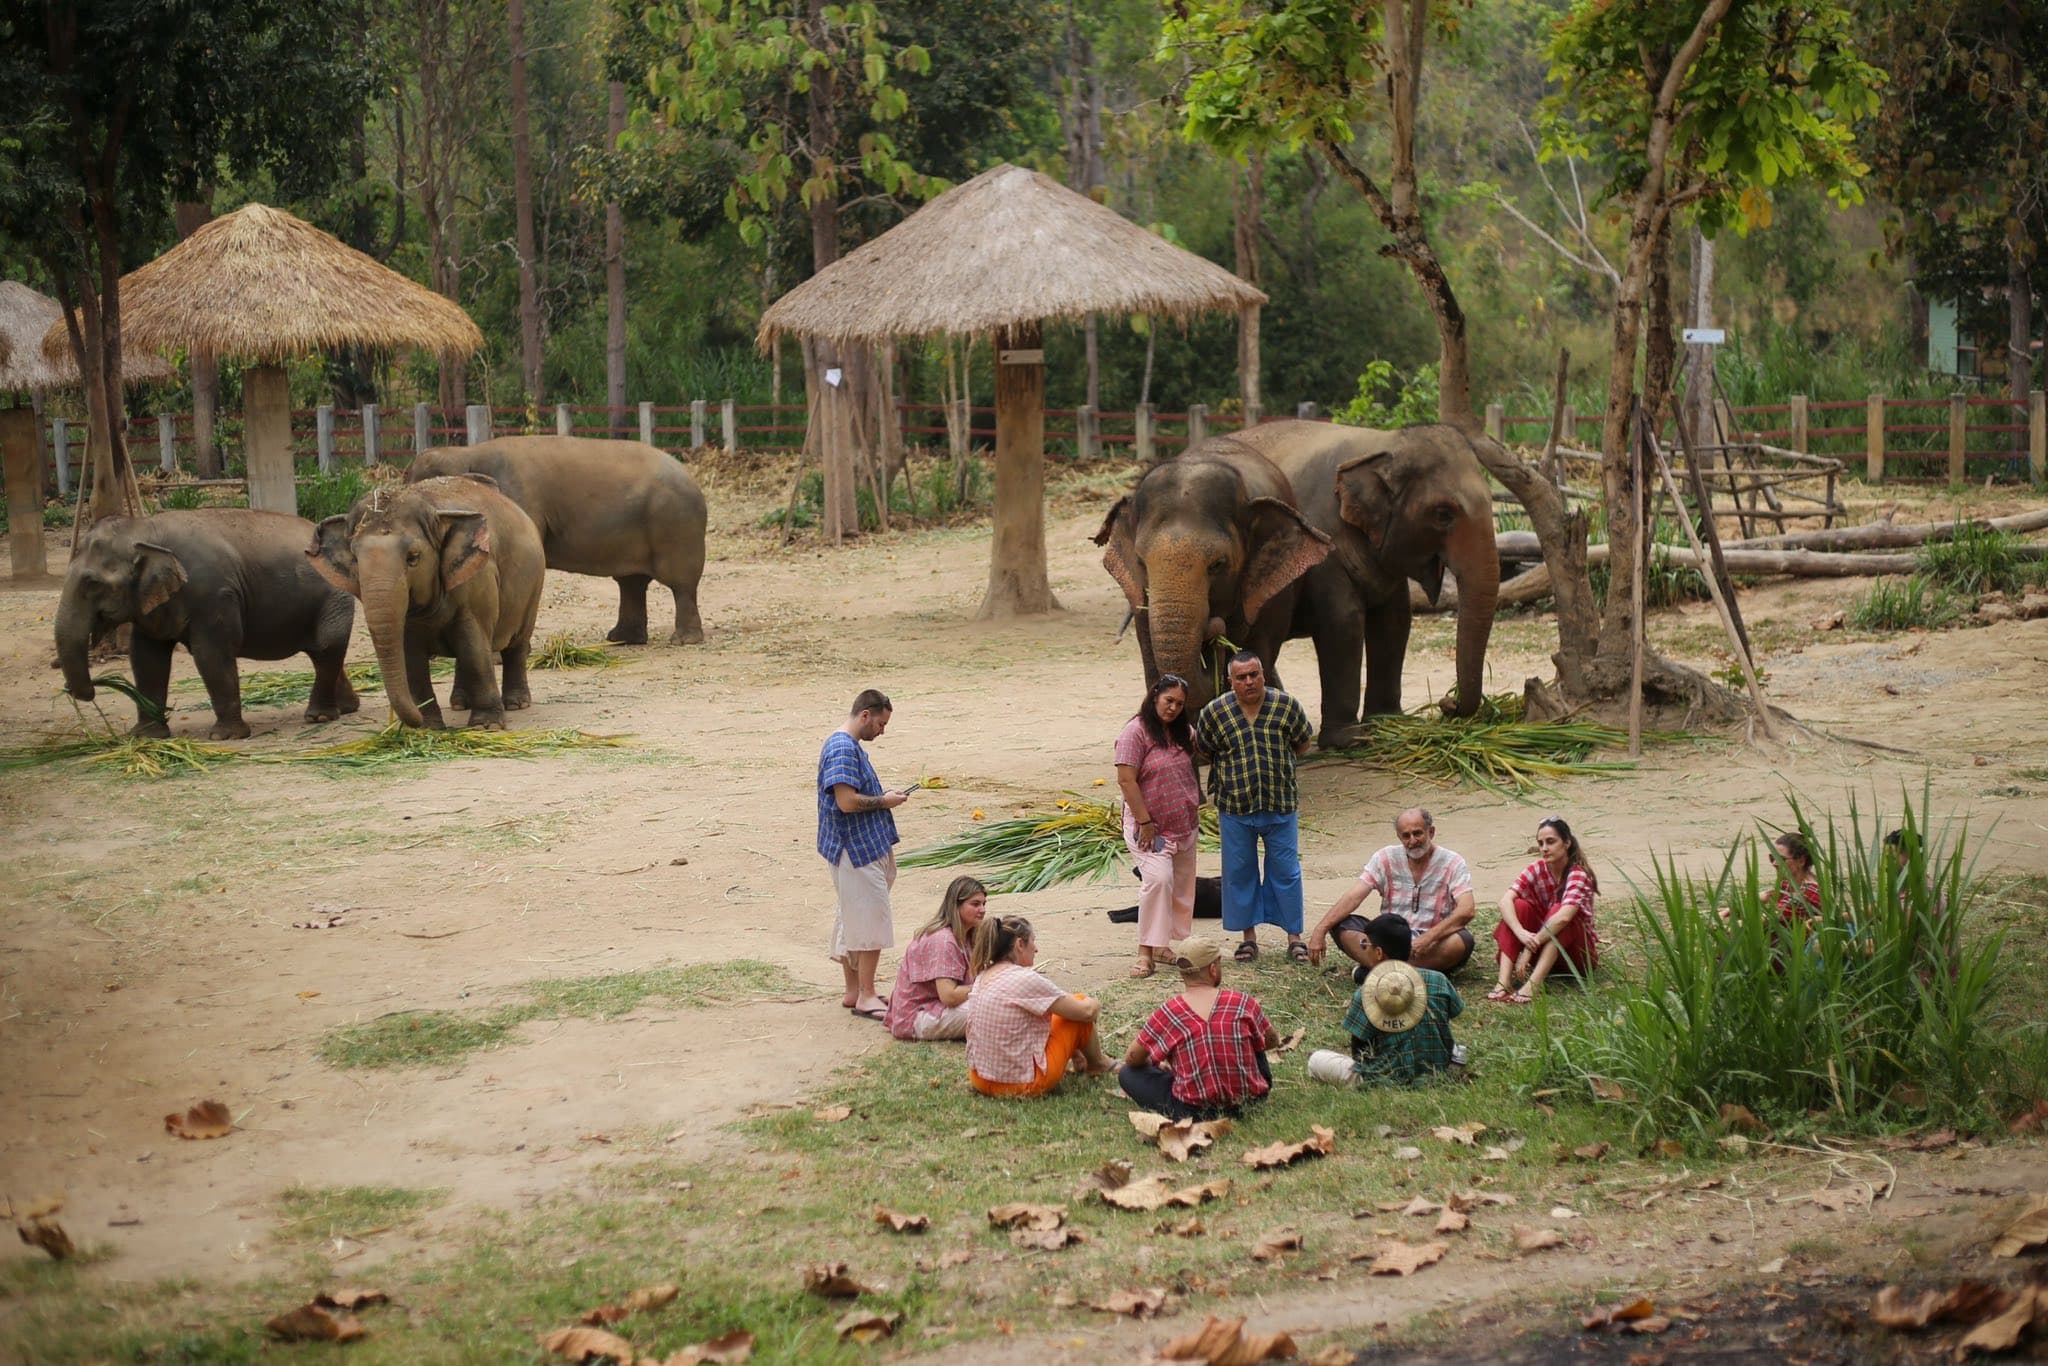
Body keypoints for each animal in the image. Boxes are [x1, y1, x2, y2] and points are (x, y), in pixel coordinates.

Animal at [55, 509, 357, 740]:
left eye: (92, 583)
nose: (74, 690)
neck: (147, 529)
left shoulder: (214, 594)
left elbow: (211, 653)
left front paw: (226, 737)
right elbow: (146, 658)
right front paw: (146, 736)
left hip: (333, 599)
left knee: (326, 649)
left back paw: (319, 717)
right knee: (323, 654)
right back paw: (348, 708)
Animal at [309, 476, 545, 730]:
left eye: (413, 558)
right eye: (354, 559)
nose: (411, 719)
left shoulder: (478, 581)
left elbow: (474, 645)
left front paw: (486, 725)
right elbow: (410, 656)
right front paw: (428, 728)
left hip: (533, 587)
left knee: (515, 643)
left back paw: (517, 704)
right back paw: (460, 704)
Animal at [405, 436, 706, 645]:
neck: (467, 452)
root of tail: (693, 480)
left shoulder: (521, 501)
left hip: (675, 527)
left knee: (680, 584)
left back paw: (682, 641)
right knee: (632, 583)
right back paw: (621, 639)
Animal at [1093, 439, 1335, 715]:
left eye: (1218, 564)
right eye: (1142, 563)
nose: (1214, 626)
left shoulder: (1271, 594)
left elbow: (1258, 651)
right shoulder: (1142, 603)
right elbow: (1153, 662)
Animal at [1228, 420, 1501, 741]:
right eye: (1443, 514)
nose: (1447, 703)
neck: (1380, 445)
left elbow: (1395, 621)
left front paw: (1387, 722)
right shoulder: (1320, 543)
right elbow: (1343, 620)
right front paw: (1349, 740)